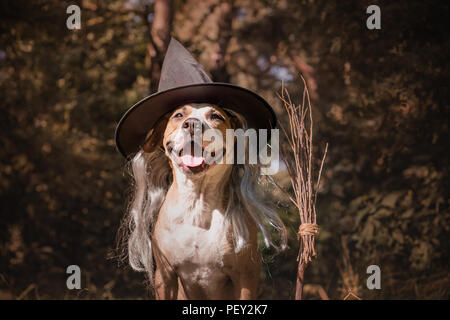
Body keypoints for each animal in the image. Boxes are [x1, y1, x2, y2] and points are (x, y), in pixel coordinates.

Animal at [120, 103, 284, 300]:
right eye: (179, 115)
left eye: (216, 116)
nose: (192, 124)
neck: (197, 202)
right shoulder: (165, 275)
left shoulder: (245, 276)